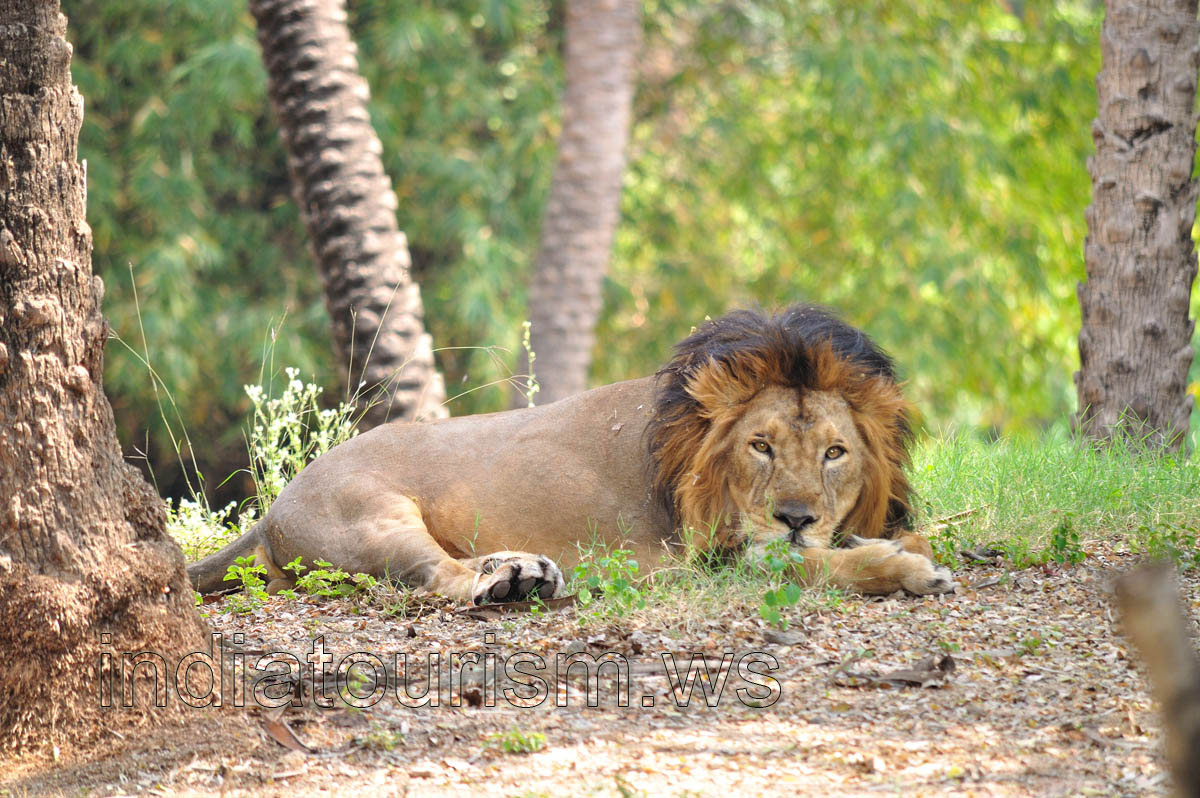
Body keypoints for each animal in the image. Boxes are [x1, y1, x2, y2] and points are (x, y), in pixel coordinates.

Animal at [188, 305, 954, 603]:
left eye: (834, 452)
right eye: (760, 446)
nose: (796, 518)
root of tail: (271, 512)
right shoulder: (695, 560)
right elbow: (807, 567)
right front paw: (906, 568)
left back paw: (523, 572)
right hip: (371, 518)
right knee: (439, 580)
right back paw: (513, 581)